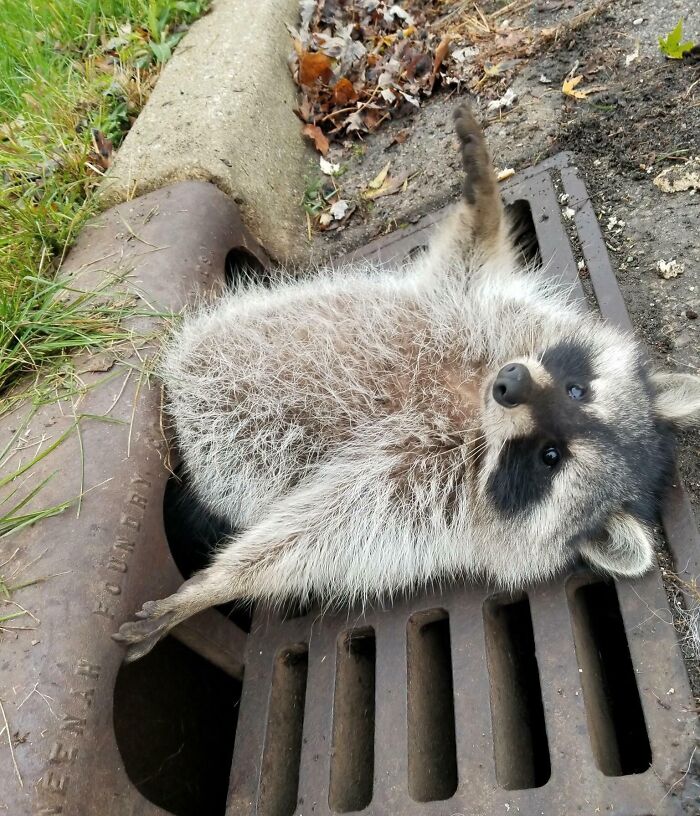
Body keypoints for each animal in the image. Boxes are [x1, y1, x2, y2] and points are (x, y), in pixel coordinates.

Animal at [114, 103, 700, 662]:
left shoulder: (416, 500)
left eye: (549, 457)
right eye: (578, 391)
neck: (473, 403)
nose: (511, 383)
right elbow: (467, 259)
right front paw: (483, 193)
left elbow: (313, 534)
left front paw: (212, 585)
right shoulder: (474, 310)